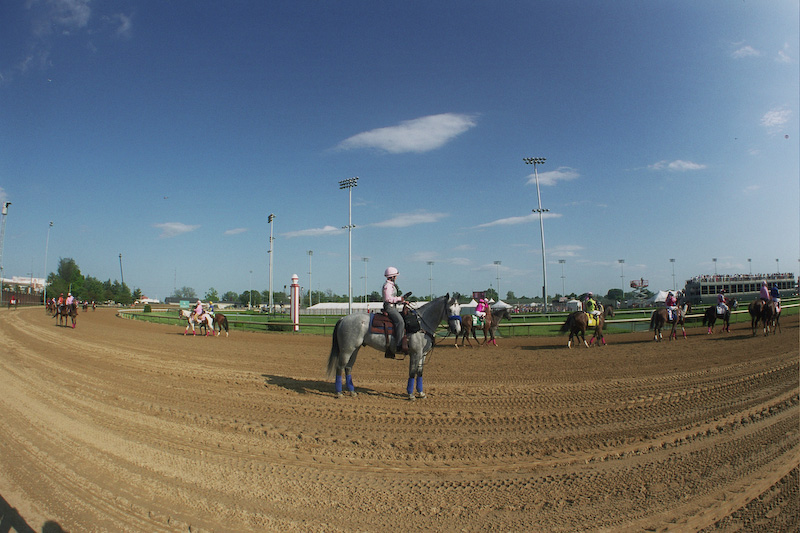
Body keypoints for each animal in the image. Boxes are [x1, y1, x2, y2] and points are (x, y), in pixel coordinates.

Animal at [324, 296, 456, 400]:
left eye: (458, 309)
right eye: (450, 310)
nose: (456, 330)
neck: (421, 324)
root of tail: (343, 319)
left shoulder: (422, 354)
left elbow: (419, 372)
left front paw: (421, 393)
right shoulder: (415, 353)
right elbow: (412, 372)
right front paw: (411, 395)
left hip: (355, 349)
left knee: (348, 368)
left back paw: (352, 392)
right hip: (347, 350)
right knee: (340, 367)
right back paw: (339, 393)